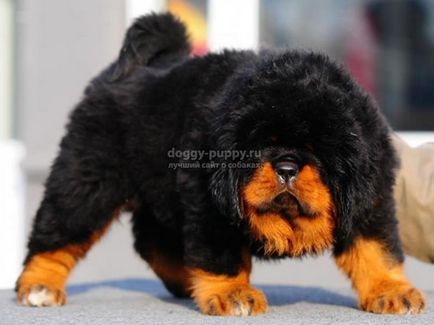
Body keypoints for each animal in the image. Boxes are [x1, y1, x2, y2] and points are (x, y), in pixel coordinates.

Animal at [16, 13, 424, 314]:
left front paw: (391, 290)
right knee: (59, 230)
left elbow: (377, 249)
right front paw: (232, 294)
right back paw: (40, 286)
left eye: (317, 150)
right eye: (260, 147)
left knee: (151, 239)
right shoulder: (209, 202)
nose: (287, 168)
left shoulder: (370, 198)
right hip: (89, 178)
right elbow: (221, 254)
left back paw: (185, 280)